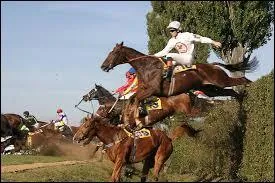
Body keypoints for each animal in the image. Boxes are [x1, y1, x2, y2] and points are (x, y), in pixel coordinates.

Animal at [101, 42, 258, 122]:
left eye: (114, 53)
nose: (103, 66)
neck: (146, 68)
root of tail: (213, 65)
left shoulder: (152, 90)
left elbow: (136, 99)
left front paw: (137, 119)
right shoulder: (143, 90)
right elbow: (132, 99)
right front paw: (132, 116)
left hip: (220, 80)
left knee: (242, 80)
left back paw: (252, 90)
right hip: (210, 89)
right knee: (231, 91)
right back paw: (241, 103)